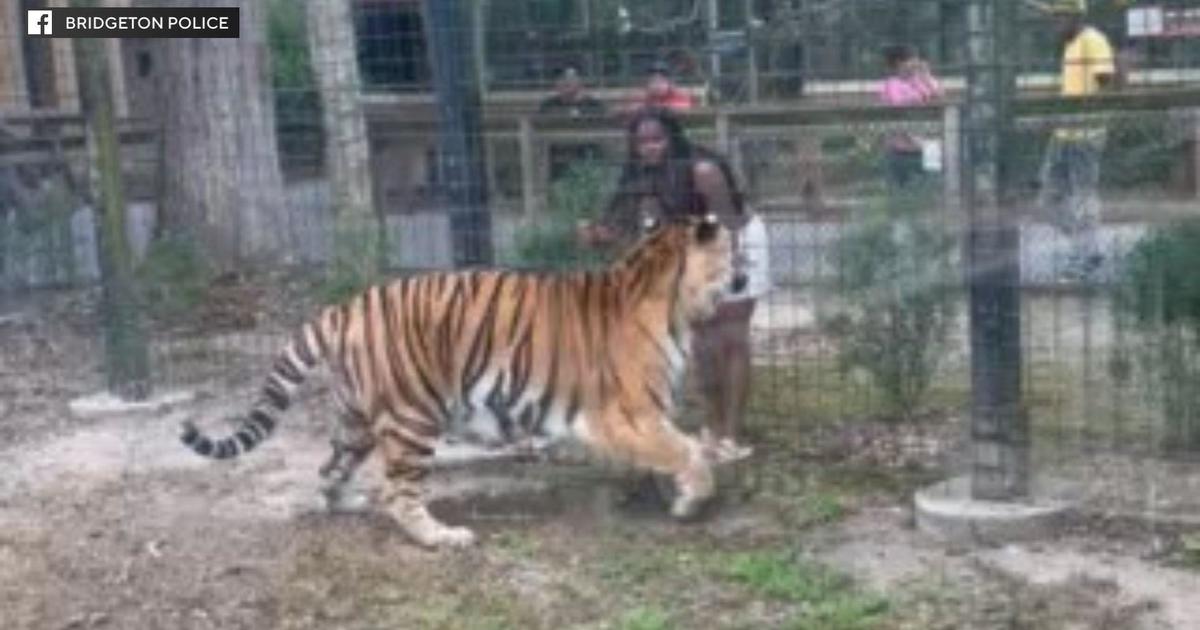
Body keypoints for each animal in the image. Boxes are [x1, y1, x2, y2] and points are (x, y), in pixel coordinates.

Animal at [180, 212, 739, 544]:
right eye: (732, 250)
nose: (743, 274)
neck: (670, 294)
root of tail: (346, 307)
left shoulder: (643, 416)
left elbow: (678, 448)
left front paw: (675, 493)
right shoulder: (626, 413)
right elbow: (685, 449)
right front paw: (694, 498)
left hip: (356, 421)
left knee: (331, 469)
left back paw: (346, 503)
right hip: (413, 417)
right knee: (398, 493)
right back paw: (443, 537)